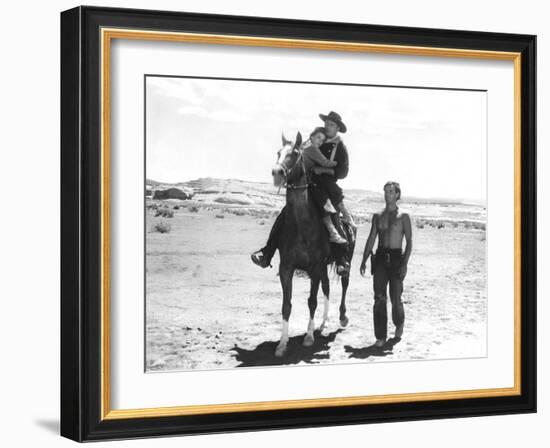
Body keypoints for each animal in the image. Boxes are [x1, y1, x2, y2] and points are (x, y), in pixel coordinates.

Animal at [272, 130, 358, 356]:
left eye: (294, 153)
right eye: (278, 152)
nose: (277, 172)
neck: (301, 225)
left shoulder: (314, 267)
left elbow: (312, 301)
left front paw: (308, 338)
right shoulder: (287, 268)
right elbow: (286, 305)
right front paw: (282, 344)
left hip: (344, 261)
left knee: (344, 284)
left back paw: (342, 318)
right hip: (324, 267)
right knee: (327, 288)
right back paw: (323, 323)